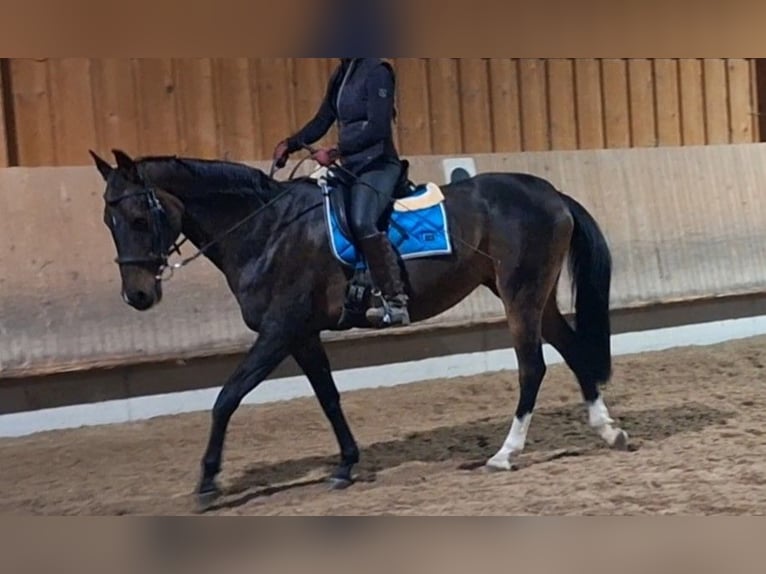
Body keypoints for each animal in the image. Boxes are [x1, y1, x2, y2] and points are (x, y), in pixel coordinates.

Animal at [90, 151, 632, 510]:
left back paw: (505, 454)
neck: (269, 229)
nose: (138, 296)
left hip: (521, 294)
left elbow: (227, 397)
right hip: (532, 295)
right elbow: (329, 399)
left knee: (532, 367)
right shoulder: (302, 335)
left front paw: (207, 484)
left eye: (138, 217)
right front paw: (347, 465)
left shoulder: (279, 330)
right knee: (572, 351)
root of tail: (550, 193)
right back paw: (608, 431)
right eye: (108, 220)